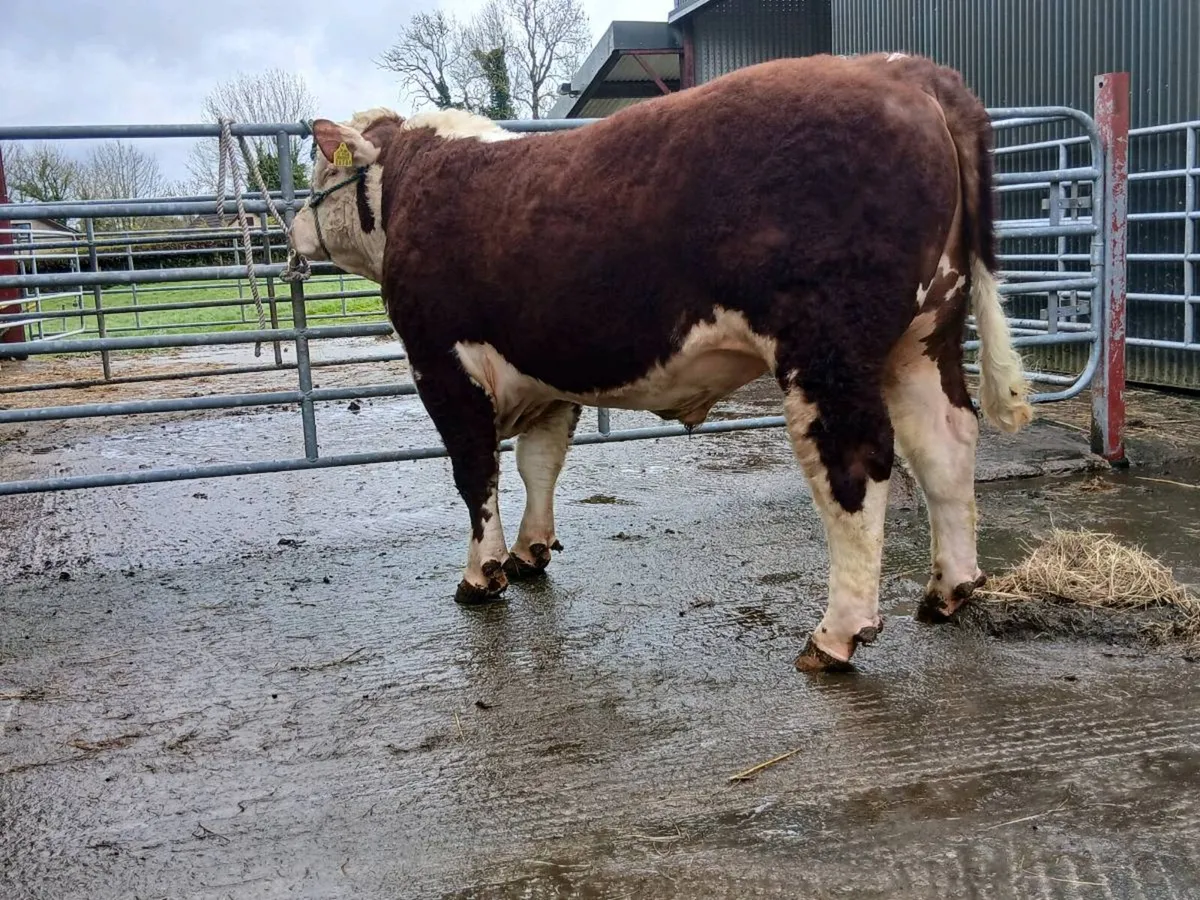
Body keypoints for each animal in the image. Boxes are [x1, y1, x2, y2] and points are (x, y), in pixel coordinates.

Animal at [288, 52, 1034, 672]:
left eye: (321, 172)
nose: (293, 229)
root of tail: (901, 69)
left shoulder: (442, 364)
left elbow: (476, 475)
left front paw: (481, 576)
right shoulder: (548, 369)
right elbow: (539, 462)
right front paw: (531, 553)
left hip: (827, 348)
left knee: (855, 464)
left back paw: (836, 635)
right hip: (923, 337)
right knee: (945, 443)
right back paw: (950, 591)